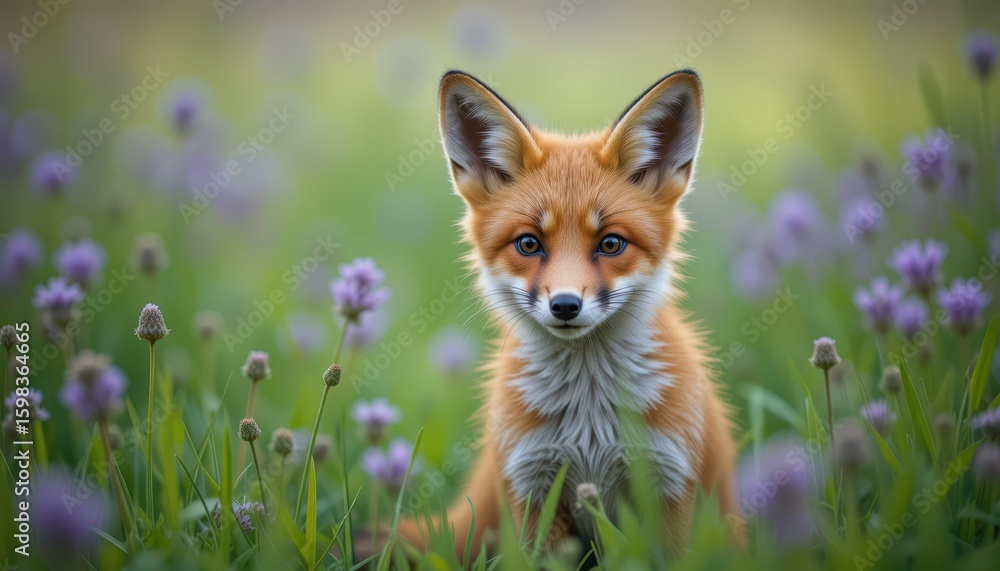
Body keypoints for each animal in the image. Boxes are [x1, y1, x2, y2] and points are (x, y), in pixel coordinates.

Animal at [387, 69, 741, 561]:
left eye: (610, 243)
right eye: (528, 244)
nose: (566, 305)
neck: (589, 419)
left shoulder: (667, 483)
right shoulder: (534, 488)